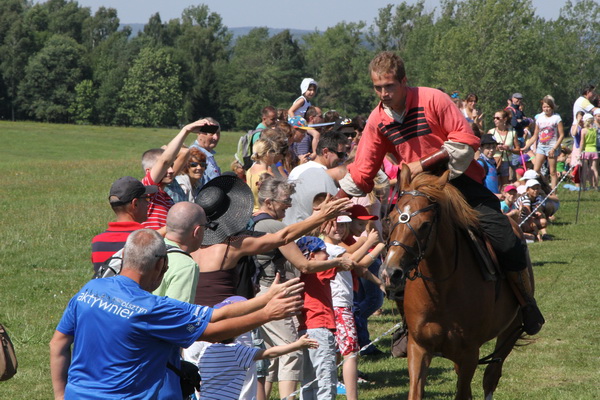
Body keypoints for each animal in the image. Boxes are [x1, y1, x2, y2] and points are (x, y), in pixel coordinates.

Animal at [384, 166, 528, 400]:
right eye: (389, 219)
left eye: (424, 225)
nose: (391, 273)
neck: (441, 291)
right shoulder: (419, 348)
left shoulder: (469, 353)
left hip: (511, 329)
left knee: (491, 375)